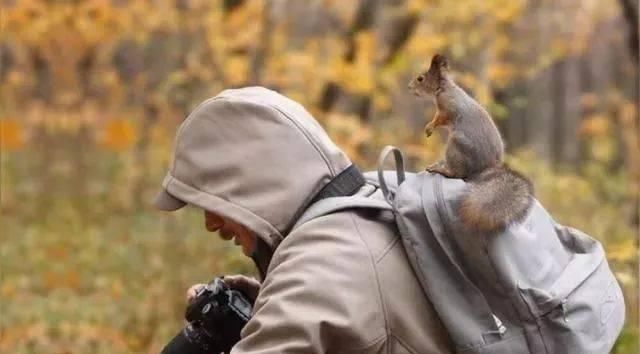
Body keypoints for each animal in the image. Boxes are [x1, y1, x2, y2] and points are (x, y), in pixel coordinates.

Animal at [410, 54, 536, 232]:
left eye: (420, 78)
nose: (409, 87)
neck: (444, 88)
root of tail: (486, 168)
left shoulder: (447, 109)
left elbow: (439, 119)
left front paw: (429, 127)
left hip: (456, 147)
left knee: (457, 173)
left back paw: (440, 169)